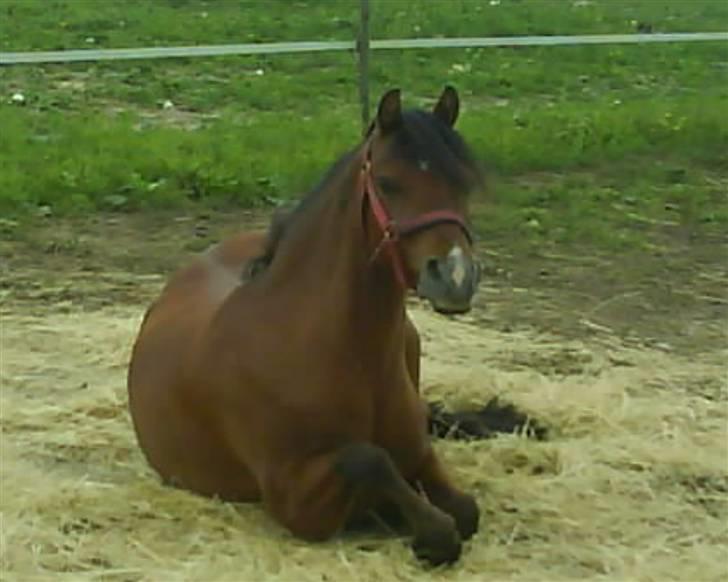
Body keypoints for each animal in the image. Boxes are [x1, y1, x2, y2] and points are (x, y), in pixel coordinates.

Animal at [127, 86, 486, 566]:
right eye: (388, 182)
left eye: (464, 182)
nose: (455, 276)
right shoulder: (293, 498)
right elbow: (370, 462)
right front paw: (414, 525)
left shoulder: (419, 453)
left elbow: (466, 511)